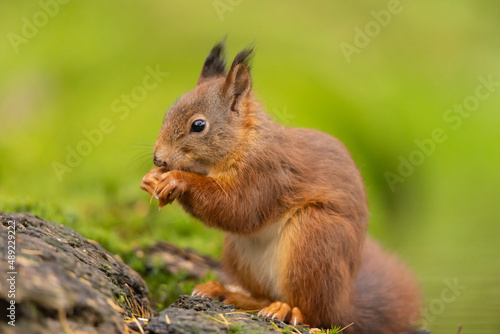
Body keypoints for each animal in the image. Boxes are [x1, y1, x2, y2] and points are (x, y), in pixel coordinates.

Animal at [142, 41, 422, 332]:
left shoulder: (266, 174)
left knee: (316, 312)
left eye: (198, 125)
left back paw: (288, 311)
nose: (158, 159)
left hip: (313, 240)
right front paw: (151, 178)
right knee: (264, 295)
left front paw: (177, 179)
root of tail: (344, 303)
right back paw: (228, 293)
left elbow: (238, 209)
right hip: (239, 255)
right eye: (168, 112)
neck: (243, 142)